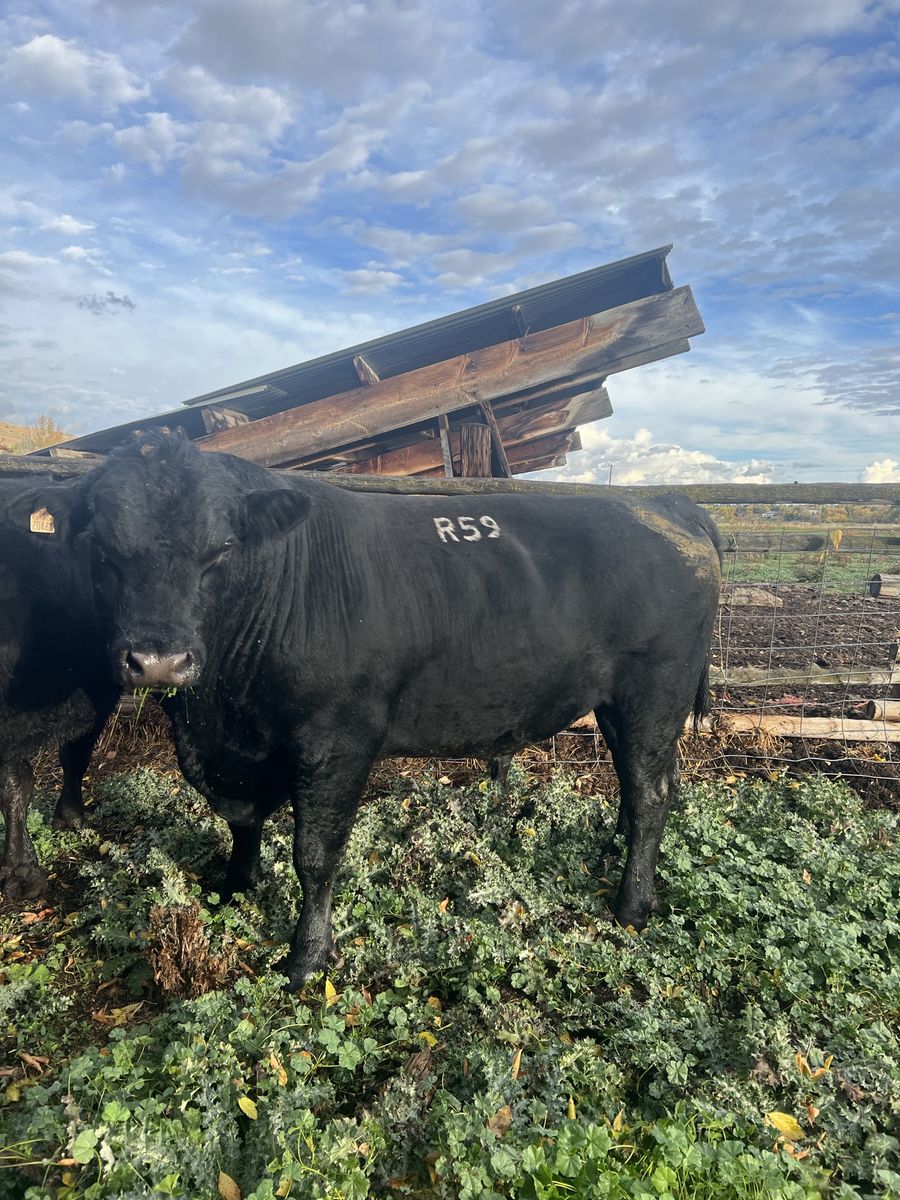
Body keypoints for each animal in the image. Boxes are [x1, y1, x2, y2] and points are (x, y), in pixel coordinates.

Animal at [16, 433, 721, 987]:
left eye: (220, 548)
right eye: (101, 548)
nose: (159, 660)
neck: (222, 710)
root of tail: (663, 502)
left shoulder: (337, 739)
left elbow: (315, 852)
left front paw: (306, 957)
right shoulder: (234, 749)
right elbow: (241, 820)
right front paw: (234, 885)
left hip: (654, 692)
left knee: (652, 791)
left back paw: (631, 905)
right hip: (619, 705)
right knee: (638, 784)